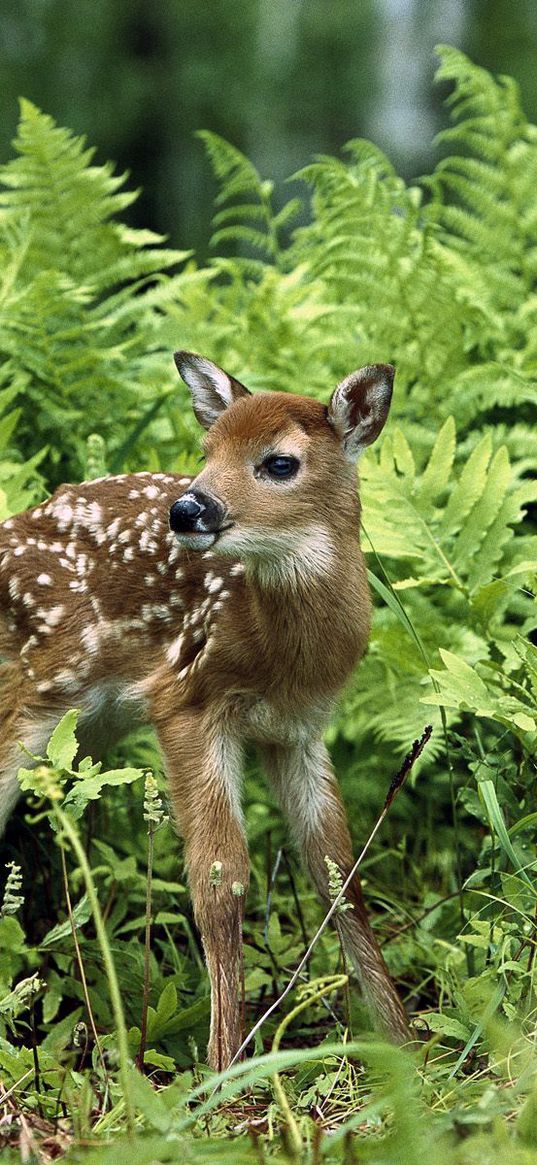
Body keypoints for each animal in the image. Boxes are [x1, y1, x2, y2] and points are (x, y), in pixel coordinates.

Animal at [0, 351, 407, 1067]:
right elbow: (220, 882)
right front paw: (225, 1067)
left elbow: (339, 874)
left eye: (280, 463)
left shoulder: (298, 730)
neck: (279, 656)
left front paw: (409, 1046)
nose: (189, 508)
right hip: (28, 697)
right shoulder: (188, 701)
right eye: (207, 450)